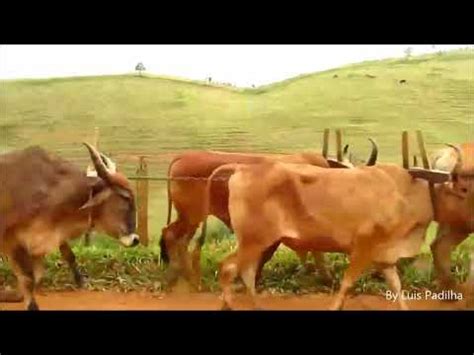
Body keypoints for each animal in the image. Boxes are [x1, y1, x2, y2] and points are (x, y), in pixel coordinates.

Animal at [0, 143, 139, 310]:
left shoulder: (46, 240)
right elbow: (28, 279)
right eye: (126, 197)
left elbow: (62, 259)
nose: (135, 239)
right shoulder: (13, 241)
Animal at [210, 149, 470, 310]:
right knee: (229, 268)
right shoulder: (363, 247)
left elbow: (397, 289)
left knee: (246, 272)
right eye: (461, 189)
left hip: (257, 243)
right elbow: (347, 283)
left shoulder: (385, 257)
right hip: (254, 240)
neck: (404, 194)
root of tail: (243, 169)